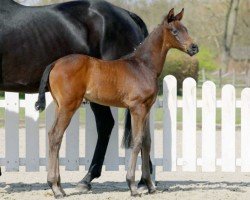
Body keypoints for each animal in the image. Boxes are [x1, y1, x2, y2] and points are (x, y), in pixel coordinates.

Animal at [35, 8, 199, 198]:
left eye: (185, 29)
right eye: (174, 31)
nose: (194, 47)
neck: (143, 66)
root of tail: (54, 63)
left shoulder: (147, 109)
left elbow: (146, 142)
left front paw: (149, 185)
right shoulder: (137, 108)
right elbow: (137, 141)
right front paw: (133, 186)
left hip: (60, 106)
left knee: (53, 135)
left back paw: (59, 187)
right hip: (69, 106)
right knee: (56, 135)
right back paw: (55, 188)